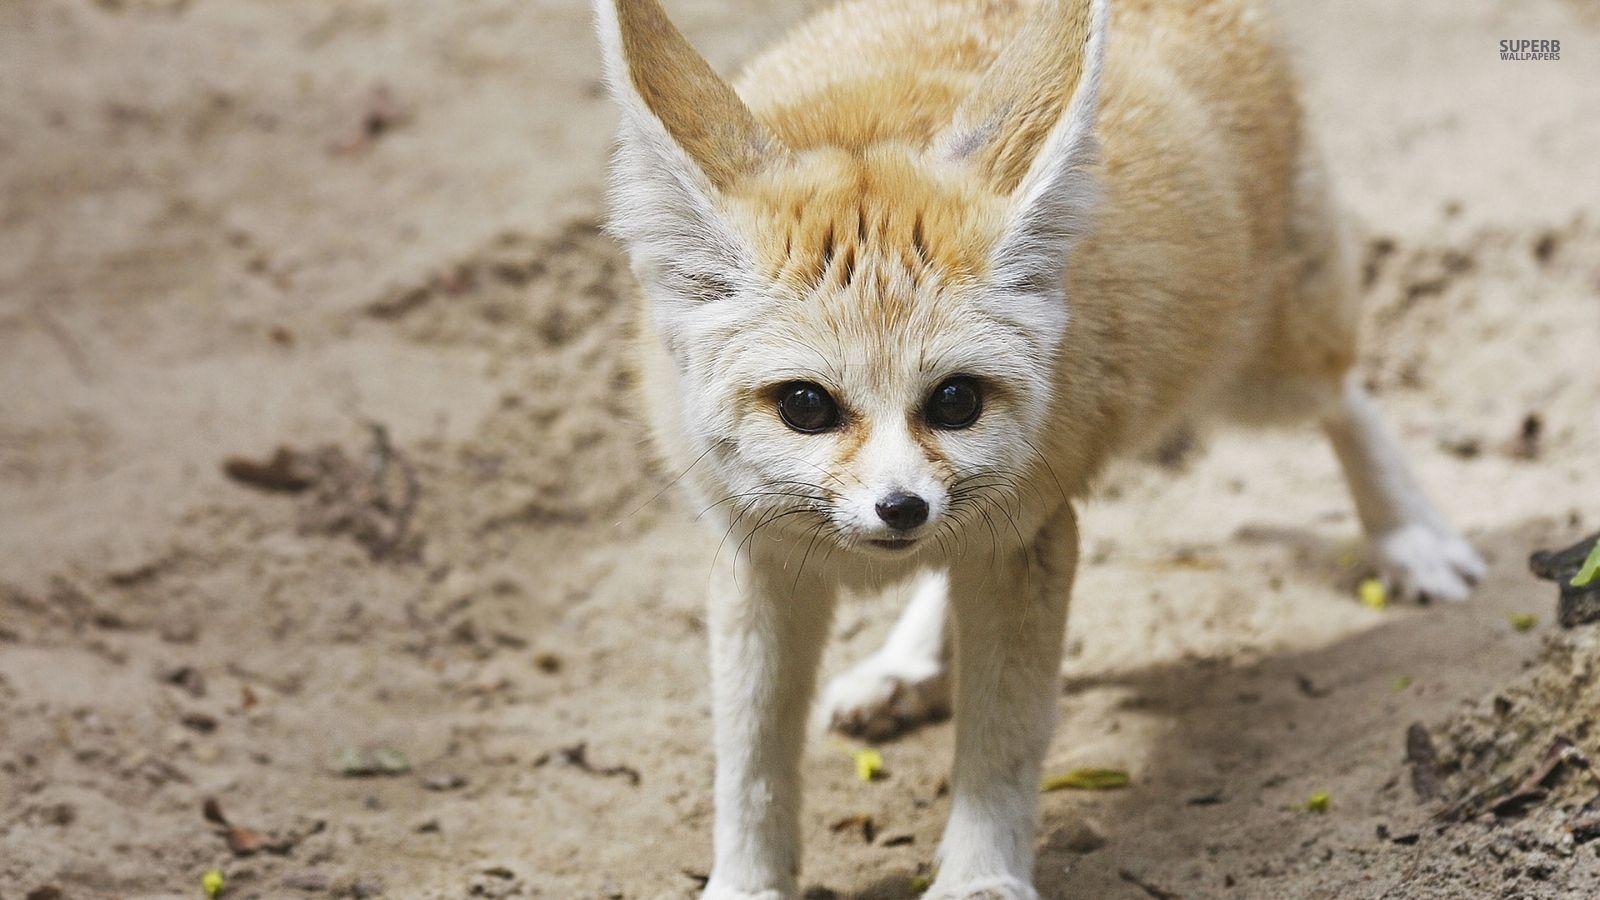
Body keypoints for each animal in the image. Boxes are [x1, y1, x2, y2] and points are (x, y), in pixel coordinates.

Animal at [591, 0, 1486, 896]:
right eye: (806, 406)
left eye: (955, 400)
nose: (900, 507)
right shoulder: (762, 559)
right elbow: (749, 762)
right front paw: (747, 881)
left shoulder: (1026, 538)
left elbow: (1001, 745)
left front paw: (980, 876)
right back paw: (906, 664)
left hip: (1260, 376)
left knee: (1349, 393)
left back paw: (1409, 535)